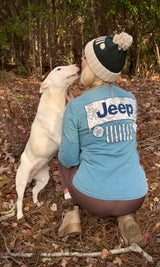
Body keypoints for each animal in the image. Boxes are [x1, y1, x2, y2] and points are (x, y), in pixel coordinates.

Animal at [15, 64, 80, 220]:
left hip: (43, 179)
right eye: (58, 69)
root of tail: (32, 175)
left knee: (34, 191)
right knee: (19, 200)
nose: (77, 64)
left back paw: (37, 203)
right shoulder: (60, 137)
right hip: (21, 181)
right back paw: (20, 215)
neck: (56, 101)